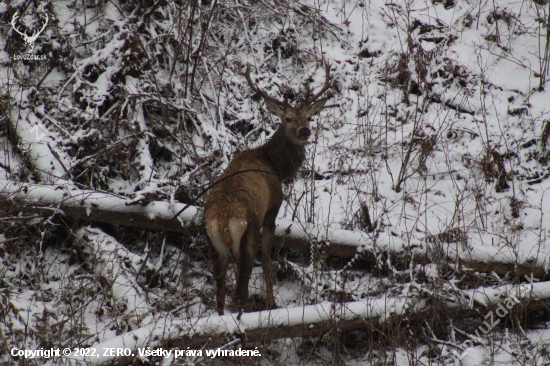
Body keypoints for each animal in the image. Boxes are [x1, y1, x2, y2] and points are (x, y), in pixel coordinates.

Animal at [205, 59, 334, 314]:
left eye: (309, 117)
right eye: (288, 119)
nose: (305, 131)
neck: (275, 167)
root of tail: (223, 222)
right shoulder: (272, 209)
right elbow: (267, 258)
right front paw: (271, 300)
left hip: (214, 245)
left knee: (220, 293)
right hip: (247, 233)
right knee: (241, 289)